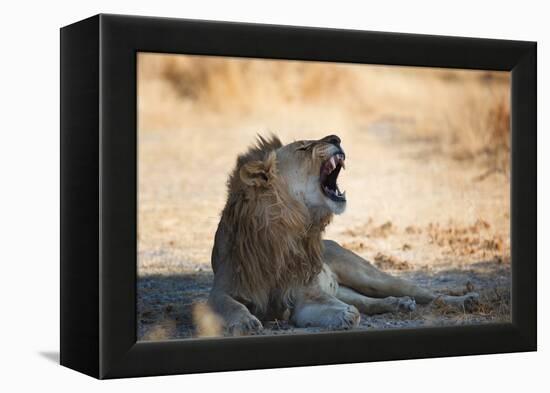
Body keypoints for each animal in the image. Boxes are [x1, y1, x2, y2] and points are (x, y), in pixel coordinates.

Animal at [207, 133, 478, 332]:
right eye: (302, 148)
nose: (336, 138)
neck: (286, 231)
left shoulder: (304, 293)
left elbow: (326, 305)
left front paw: (343, 314)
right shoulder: (222, 289)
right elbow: (228, 305)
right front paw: (245, 321)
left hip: (370, 277)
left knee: (427, 294)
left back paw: (464, 300)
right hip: (347, 287)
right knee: (368, 302)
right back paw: (399, 304)